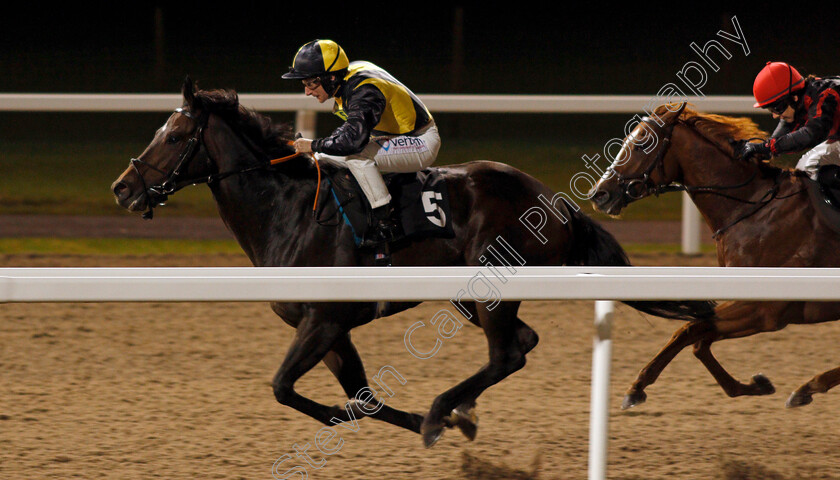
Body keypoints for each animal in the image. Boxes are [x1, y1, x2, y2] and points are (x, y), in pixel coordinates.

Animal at [110, 79, 716, 446]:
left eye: (175, 135)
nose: (122, 188)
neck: (288, 210)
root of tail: (554, 200)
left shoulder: (324, 319)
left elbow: (287, 388)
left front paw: (427, 420)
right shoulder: (331, 328)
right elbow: (360, 398)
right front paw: (434, 421)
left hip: (491, 288)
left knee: (506, 354)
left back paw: (440, 410)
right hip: (470, 297)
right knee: (521, 344)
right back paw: (457, 410)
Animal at [588, 104, 840, 408]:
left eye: (640, 144)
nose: (599, 194)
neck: (753, 207)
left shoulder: (766, 309)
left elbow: (688, 330)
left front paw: (636, 387)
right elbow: (698, 339)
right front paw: (752, 386)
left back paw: (810, 386)